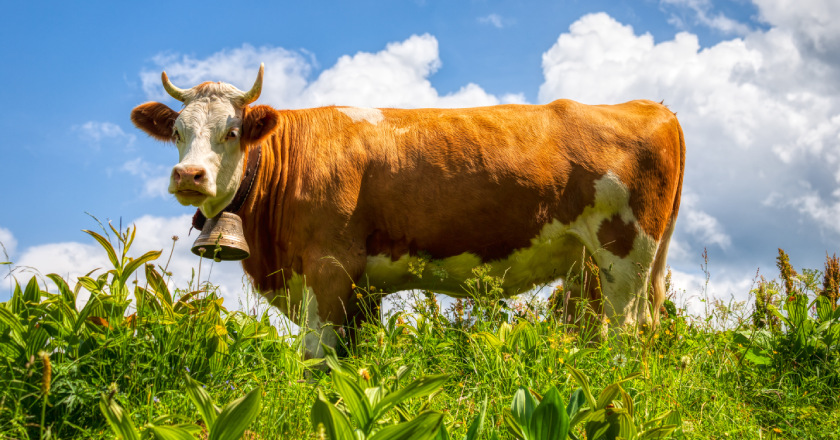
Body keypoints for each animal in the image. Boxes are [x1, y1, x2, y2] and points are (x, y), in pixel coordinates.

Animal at [131, 64, 685, 358]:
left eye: (231, 131)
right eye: (177, 131)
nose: (189, 176)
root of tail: (652, 108)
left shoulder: (328, 267)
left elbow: (315, 358)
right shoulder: (360, 284)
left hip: (625, 255)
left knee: (626, 331)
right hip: (595, 266)